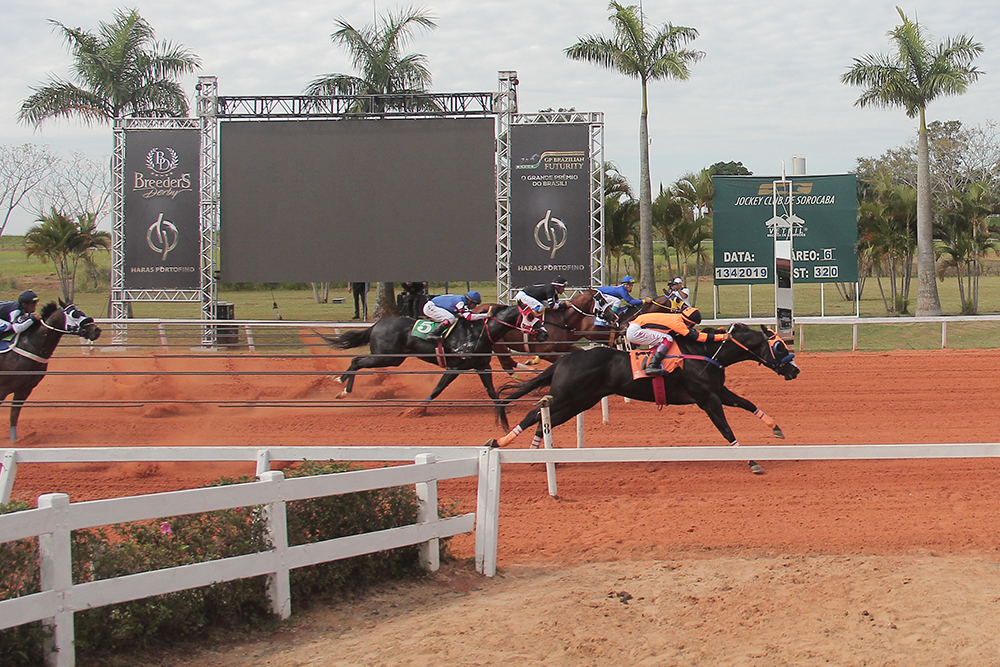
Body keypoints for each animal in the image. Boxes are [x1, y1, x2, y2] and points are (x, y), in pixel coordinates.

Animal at [0, 302, 100, 444]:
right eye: (75, 314)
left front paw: (15, 441)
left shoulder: (24, 389)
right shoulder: (2, 388)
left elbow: (14, 414)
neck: (30, 345)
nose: (96, 330)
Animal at [322, 302, 544, 428]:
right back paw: (342, 386)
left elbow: (491, 391)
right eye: (531, 316)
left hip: (392, 358)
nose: (544, 333)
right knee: (356, 360)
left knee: (357, 361)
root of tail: (377, 324)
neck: (477, 332)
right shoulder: (455, 367)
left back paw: (342, 386)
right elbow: (438, 388)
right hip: (386, 356)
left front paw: (503, 413)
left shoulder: (482, 366)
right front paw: (416, 410)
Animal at [488, 324, 800, 474]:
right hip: (567, 396)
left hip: (580, 401)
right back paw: (499, 442)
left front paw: (776, 428)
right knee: (534, 416)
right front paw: (752, 461)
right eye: (780, 346)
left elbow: (748, 404)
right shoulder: (706, 398)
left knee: (545, 421)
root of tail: (565, 359)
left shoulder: (717, 391)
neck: (705, 354)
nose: (795, 370)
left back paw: (535, 453)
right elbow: (726, 430)